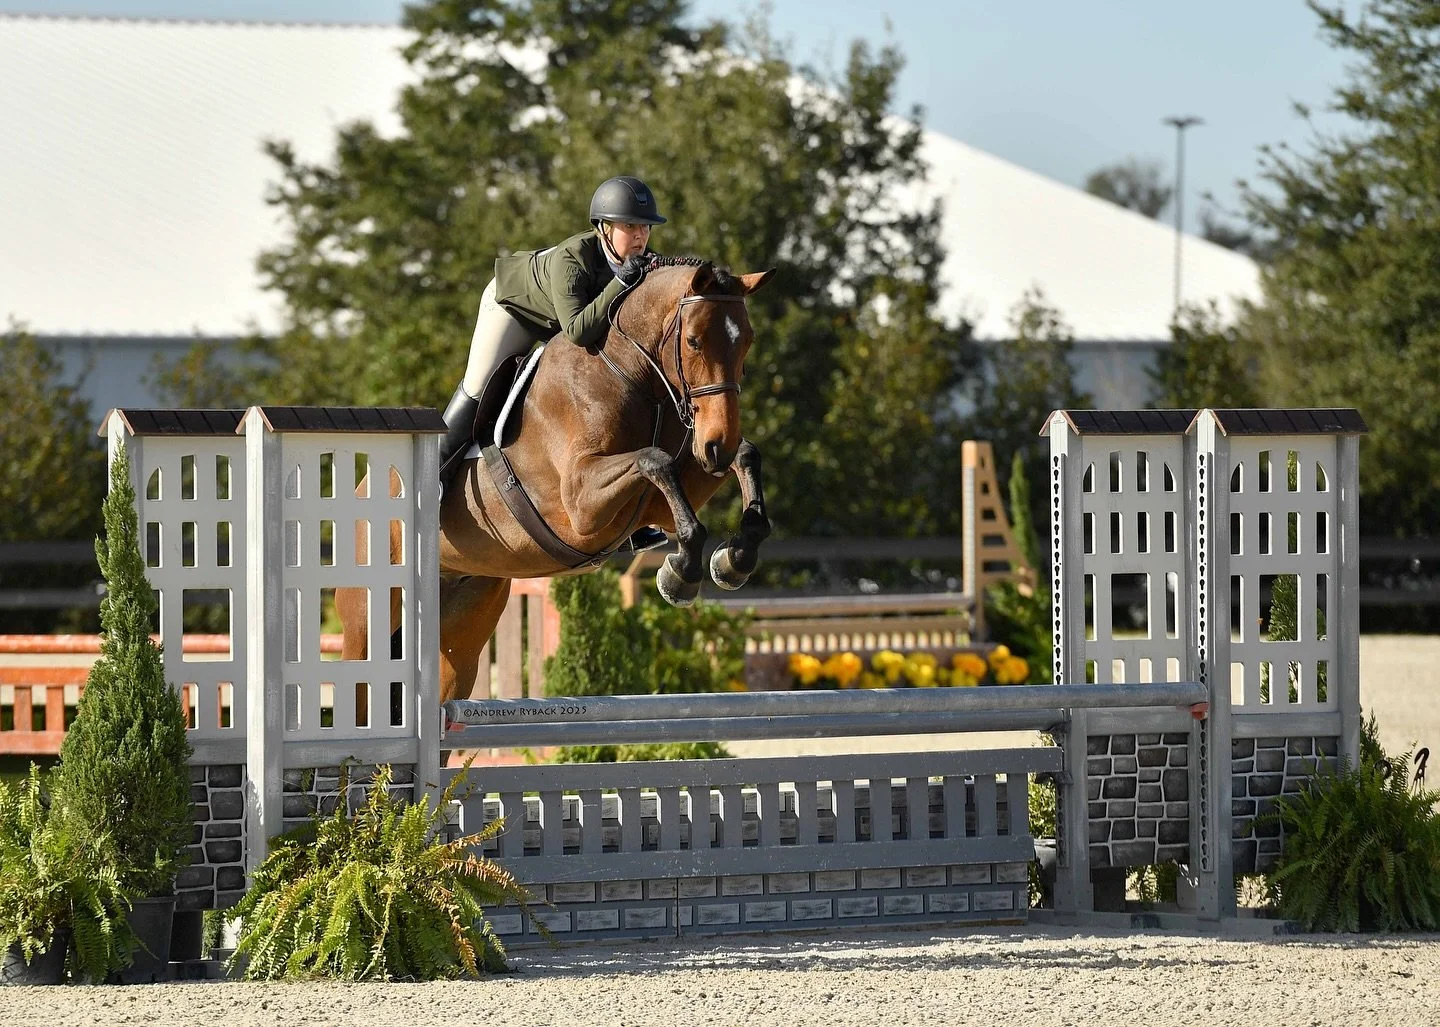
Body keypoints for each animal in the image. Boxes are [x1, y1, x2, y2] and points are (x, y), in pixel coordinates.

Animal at [337, 258, 775, 704]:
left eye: (747, 342)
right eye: (693, 341)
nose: (717, 445)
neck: (627, 371)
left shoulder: (659, 498)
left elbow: (743, 455)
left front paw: (733, 560)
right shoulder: (581, 505)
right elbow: (656, 460)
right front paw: (681, 575)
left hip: (462, 621)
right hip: (367, 620)